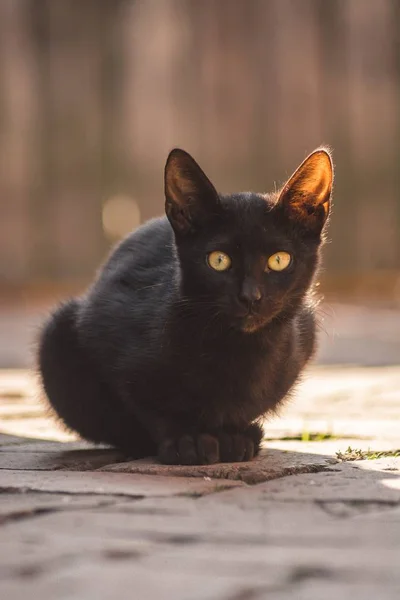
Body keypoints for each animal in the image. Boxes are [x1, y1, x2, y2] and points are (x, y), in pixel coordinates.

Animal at [37, 148, 332, 466]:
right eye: (218, 260)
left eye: (279, 260)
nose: (250, 296)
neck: (236, 351)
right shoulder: (105, 327)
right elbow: (150, 408)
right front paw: (186, 440)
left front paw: (233, 436)